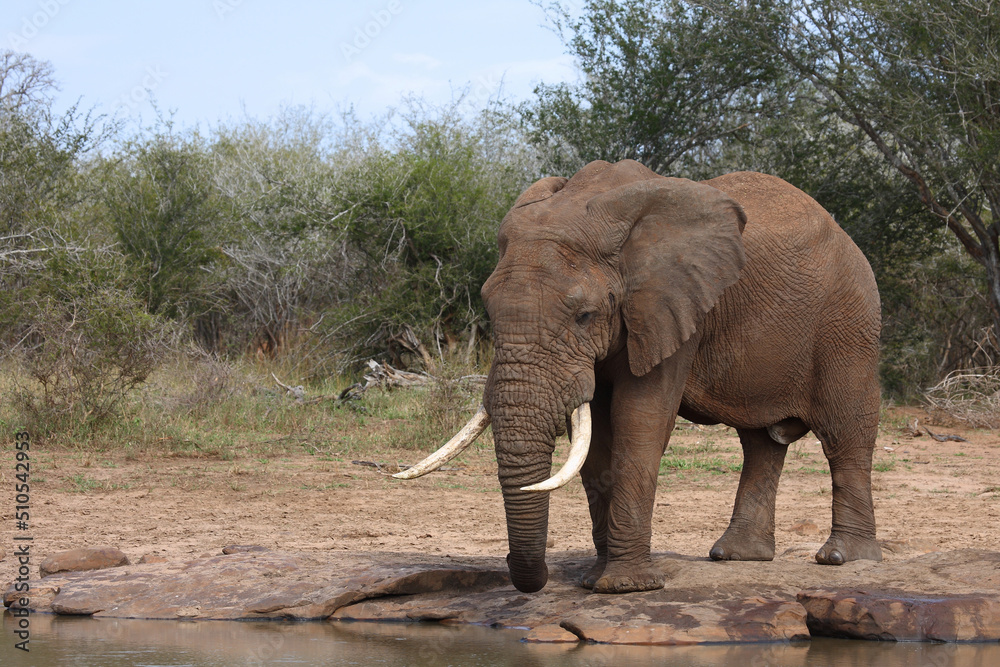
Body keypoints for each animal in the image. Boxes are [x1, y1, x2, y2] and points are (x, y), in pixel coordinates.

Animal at [394, 160, 880, 596]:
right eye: (489, 310)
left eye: (584, 315)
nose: (536, 575)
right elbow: (595, 435)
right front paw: (595, 579)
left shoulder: (669, 306)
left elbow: (638, 420)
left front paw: (624, 587)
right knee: (760, 443)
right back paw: (736, 555)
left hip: (849, 321)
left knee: (845, 434)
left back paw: (842, 557)